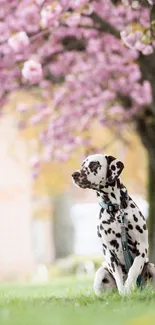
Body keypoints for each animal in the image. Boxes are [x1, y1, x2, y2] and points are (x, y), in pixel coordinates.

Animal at [72, 153, 155, 294]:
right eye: (82, 164)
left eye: (93, 164)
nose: (74, 174)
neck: (116, 211)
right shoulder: (109, 253)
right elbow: (119, 279)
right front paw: (124, 293)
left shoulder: (142, 247)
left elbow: (134, 269)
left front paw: (129, 287)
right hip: (101, 273)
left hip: (151, 267)